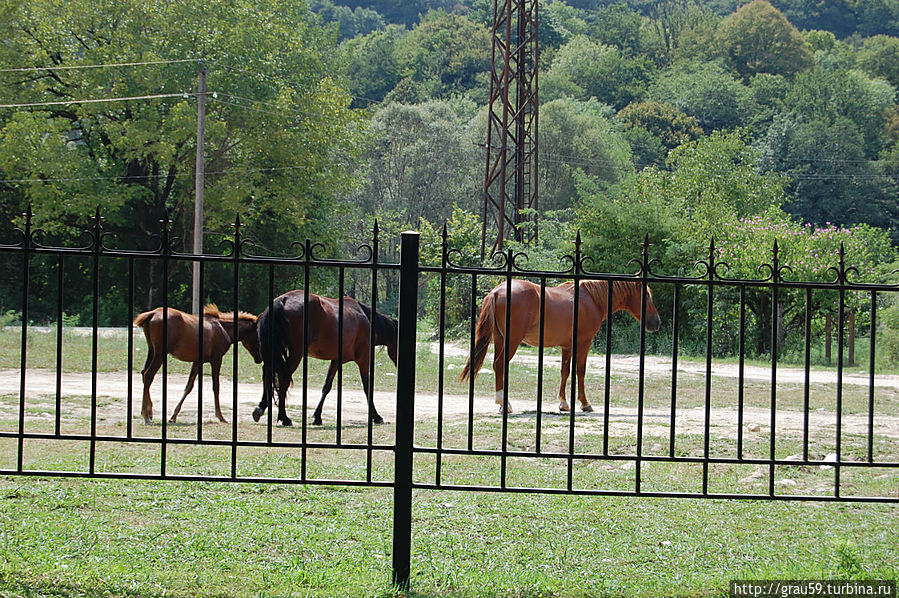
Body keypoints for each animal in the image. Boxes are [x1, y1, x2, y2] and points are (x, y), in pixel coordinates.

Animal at [133, 304, 264, 426]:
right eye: (258, 337)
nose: (260, 359)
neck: (225, 329)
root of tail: (152, 314)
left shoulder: (197, 361)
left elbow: (189, 386)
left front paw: (174, 416)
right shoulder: (217, 359)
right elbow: (216, 386)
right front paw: (221, 416)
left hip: (152, 350)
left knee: (144, 373)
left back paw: (149, 413)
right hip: (160, 353)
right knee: (149, 374)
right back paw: (146, 416)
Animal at [251, 290, 396, 426]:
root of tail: (282, 300)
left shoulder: (336, 360)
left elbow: (327, 386)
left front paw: (317, 417)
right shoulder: (363, 359)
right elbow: (367, 388)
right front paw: (377, 416)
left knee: (267, 375)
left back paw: (261, 407)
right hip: (296, 355)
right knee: (283, 378)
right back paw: (284, 418)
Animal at [464, 280, 660, 412]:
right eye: (646, 295)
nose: (656, 322)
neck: (591, 299)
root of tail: (496, 292)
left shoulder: (567, 346)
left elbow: (565, 372)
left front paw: (564, 403)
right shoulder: (583, 343)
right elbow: (580, 371)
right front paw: (585, 403)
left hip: (500, 339)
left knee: (498, 367)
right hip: (511, 342)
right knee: (499, 365)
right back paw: (504, 404)